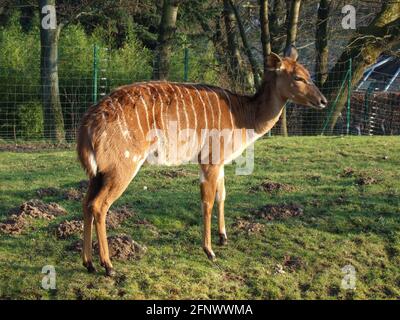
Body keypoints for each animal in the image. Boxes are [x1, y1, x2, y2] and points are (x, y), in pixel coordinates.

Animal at [76, 46, 326, 276]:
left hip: (98, 172)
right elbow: (207, 202)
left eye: (308, 73)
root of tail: (87, 124)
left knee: (86, 203)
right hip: (122, 167)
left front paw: (223, 238)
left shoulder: (220, 161)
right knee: (100, 205)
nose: (323, 101)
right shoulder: (209, 159)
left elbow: (222, 195)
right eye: (298, 77)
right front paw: (210, 251)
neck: (244, 116)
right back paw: (108, 266)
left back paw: (89, 263)